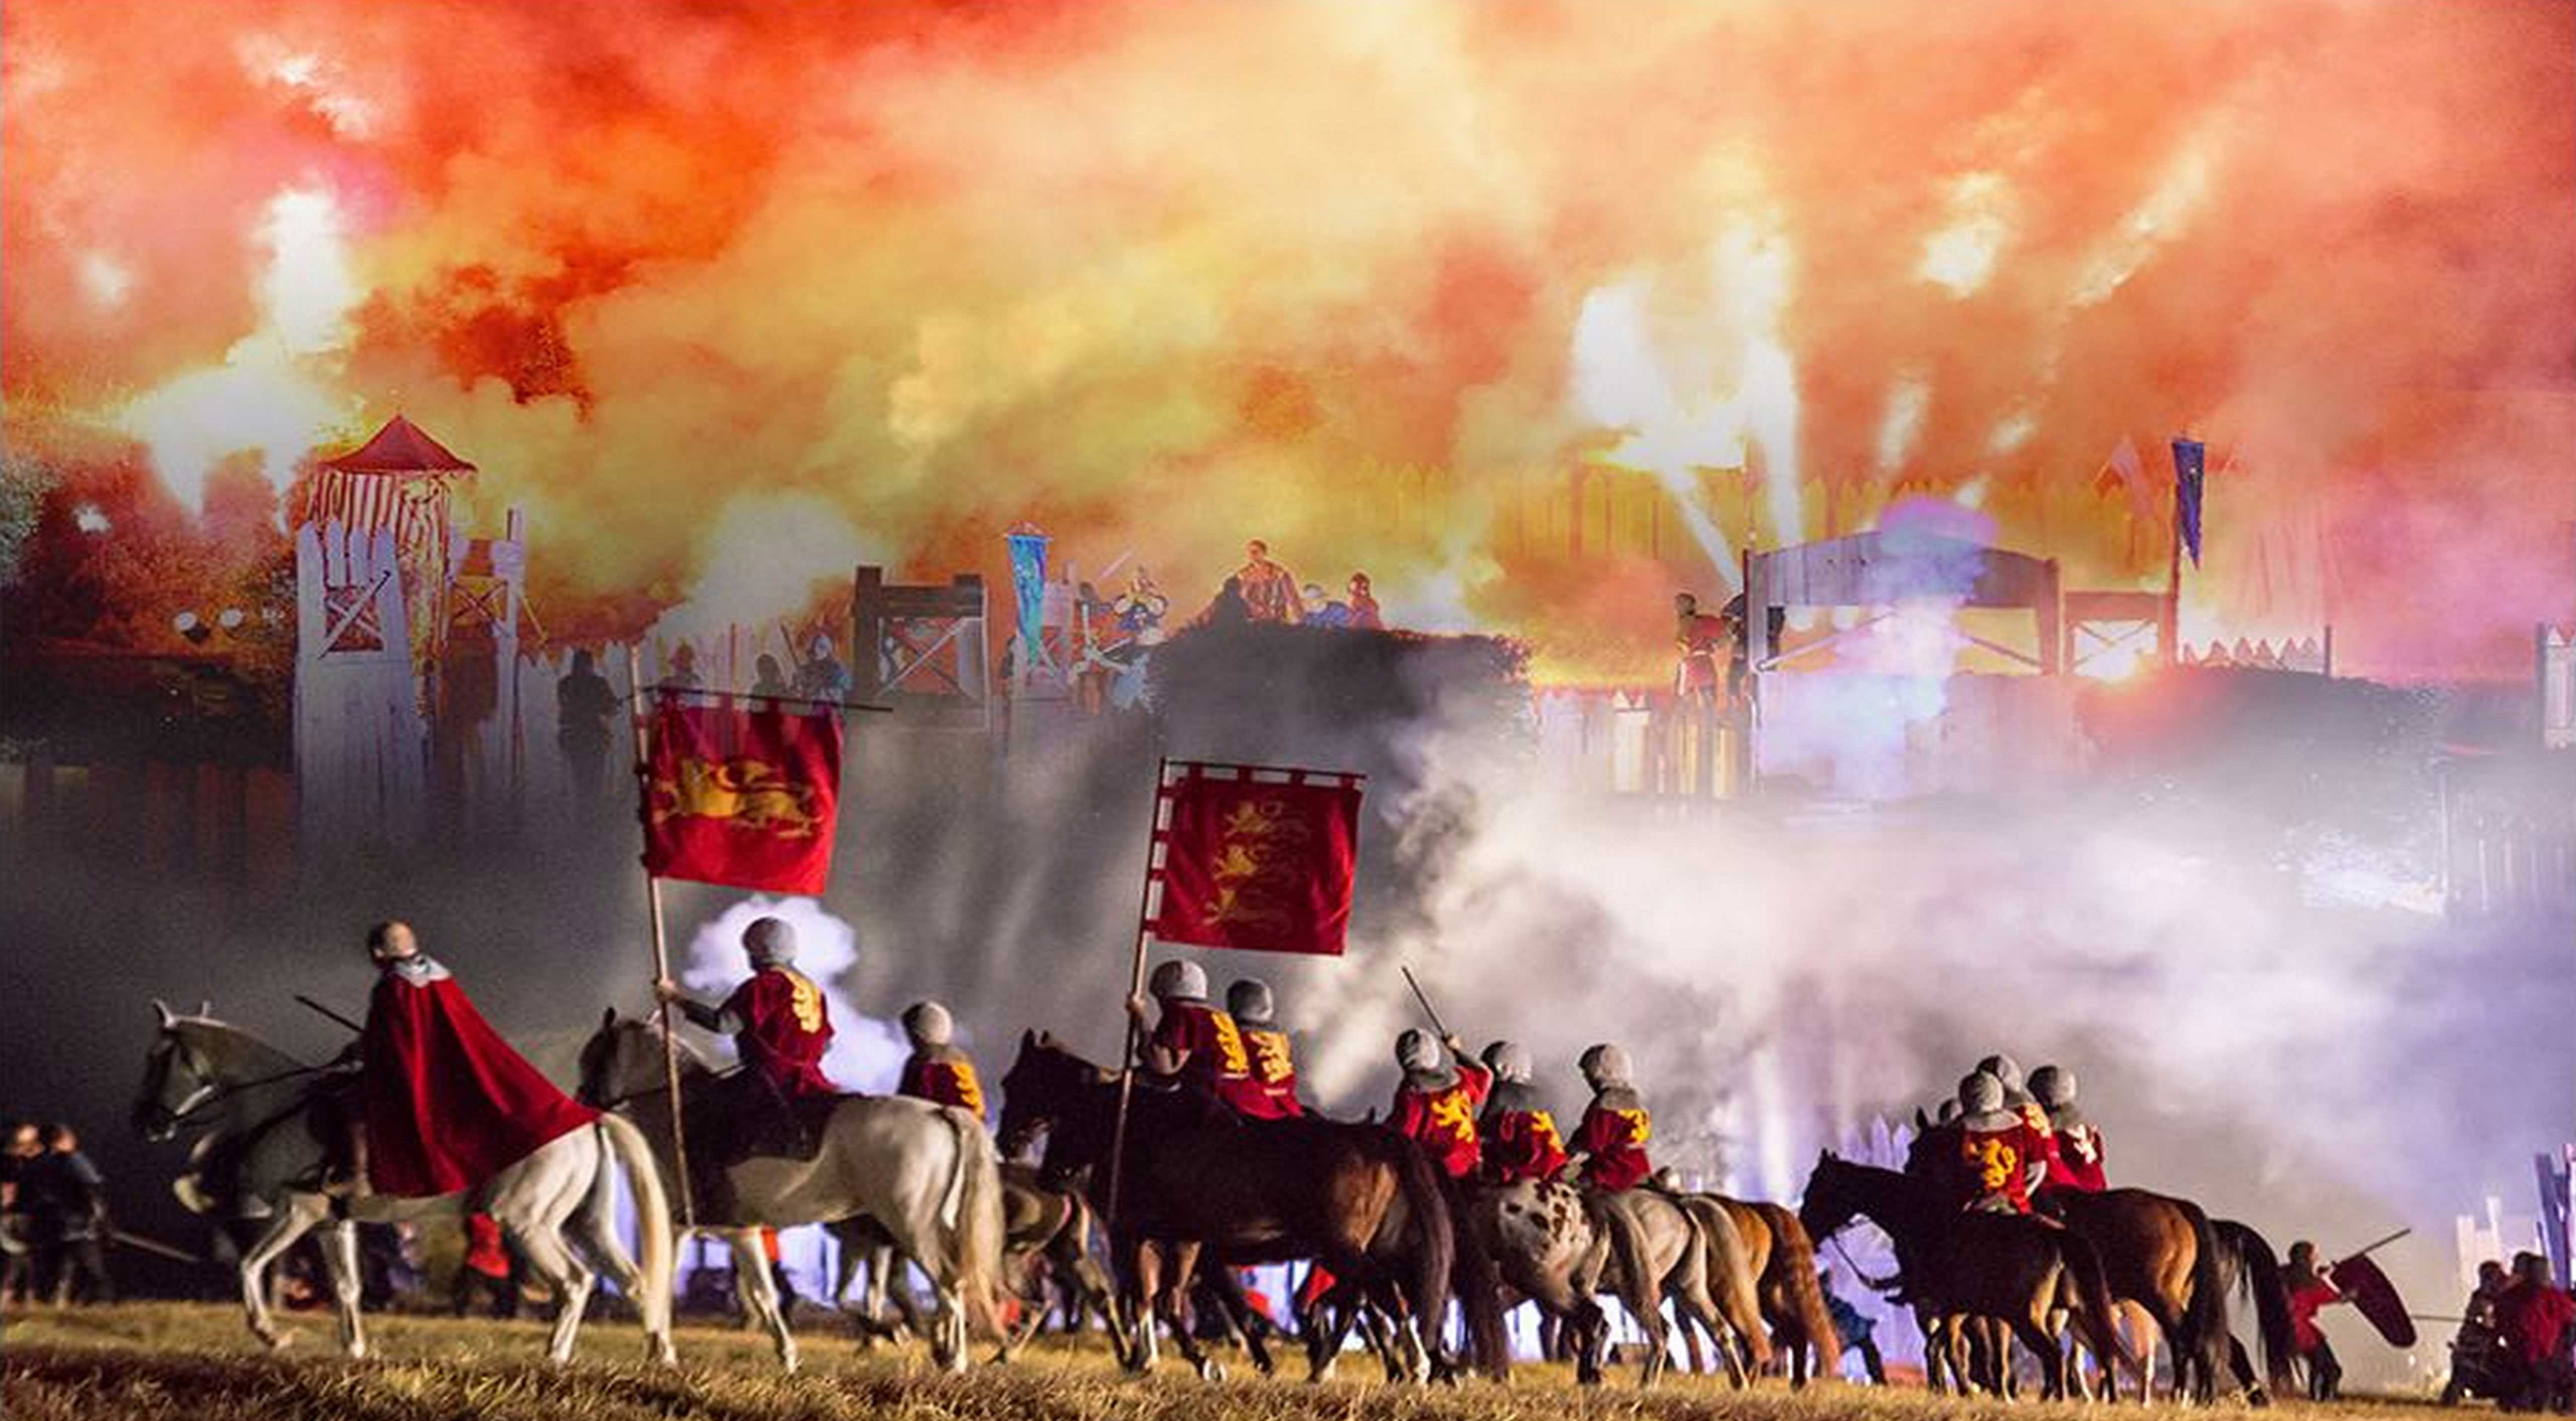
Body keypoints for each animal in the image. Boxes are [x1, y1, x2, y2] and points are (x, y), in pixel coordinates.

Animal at [138, 998, 675, 1369]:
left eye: (158, 1059)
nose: (146, 1122)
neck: (281, 1104)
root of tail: (586, 1119)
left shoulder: (297, 1211)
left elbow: (249, 1266)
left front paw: (273, 1335)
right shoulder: (332, 1223)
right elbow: (347, 1286)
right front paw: (356, 1350)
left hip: (528, 1224)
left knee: (576, 1281)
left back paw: (556, 1356)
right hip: (587, 1225)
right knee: (634, 1280)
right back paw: (660, 1355)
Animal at [580, 1004, 999, 1369]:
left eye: (592, 1056)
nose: (583, 1102)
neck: (680, 1110)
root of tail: (940, 1113)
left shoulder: (679, 1224)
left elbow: (662, 1283)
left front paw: (661, 1352)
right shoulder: (741, 1231)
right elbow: (765, 1294)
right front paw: (789, 1356)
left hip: (911, 1226)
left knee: (948, 1282)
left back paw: (953, 1358)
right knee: (954, 1282)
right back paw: (944, 1350)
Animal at [994, 1024, 1484, 1380]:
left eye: (1016, 1081)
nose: (1008, 1144)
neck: (1134, 1125)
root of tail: (1375, 1138)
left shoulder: (1139, 1237)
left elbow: (1153, 1299)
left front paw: (1180, 1361)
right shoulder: (1176, 1240)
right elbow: (1163, 1300)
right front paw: (1155, 1360)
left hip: (1340, 1248)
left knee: (1378, 1294)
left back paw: (1412, 1363)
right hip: (1355, 1249)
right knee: (1368, 1299)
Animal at [1793, 1153, 2133, 1400]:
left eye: (1818, 1189)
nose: (1804, 1229)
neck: (1929, 1222)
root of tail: (2058, 1235)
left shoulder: (1946, 1308)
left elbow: (1947, 1349)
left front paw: (1960, 1390)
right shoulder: (1960, 1310)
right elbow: (1946, 1349)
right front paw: (1958, 1390)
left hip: (2027, 1317)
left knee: (2055, 1354)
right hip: (2073, 1312)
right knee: (2098, 1352)